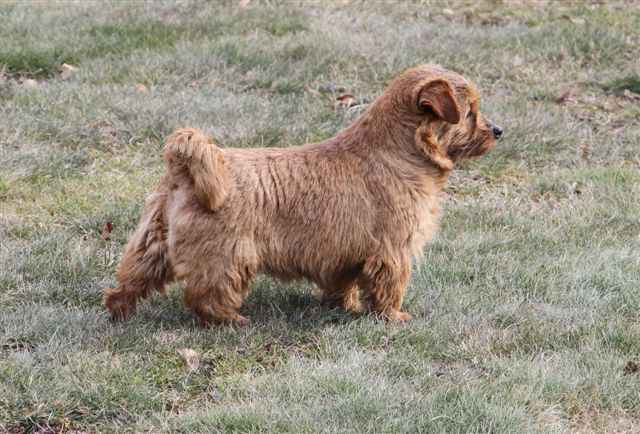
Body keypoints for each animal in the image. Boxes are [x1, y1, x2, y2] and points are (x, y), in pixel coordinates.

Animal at [104, 63, 500, 326]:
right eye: (470, 112)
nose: (499, 130)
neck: (398, 150)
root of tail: (184, 167)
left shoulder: (344, 253)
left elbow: (344, 285)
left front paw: (344, 307)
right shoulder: (393, 249)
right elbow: (388, 285)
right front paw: (393, 317)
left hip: (151, 243)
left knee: (130, 279)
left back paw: (120, 312)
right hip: (228, 256)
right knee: (205, 296)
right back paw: (233, 320)